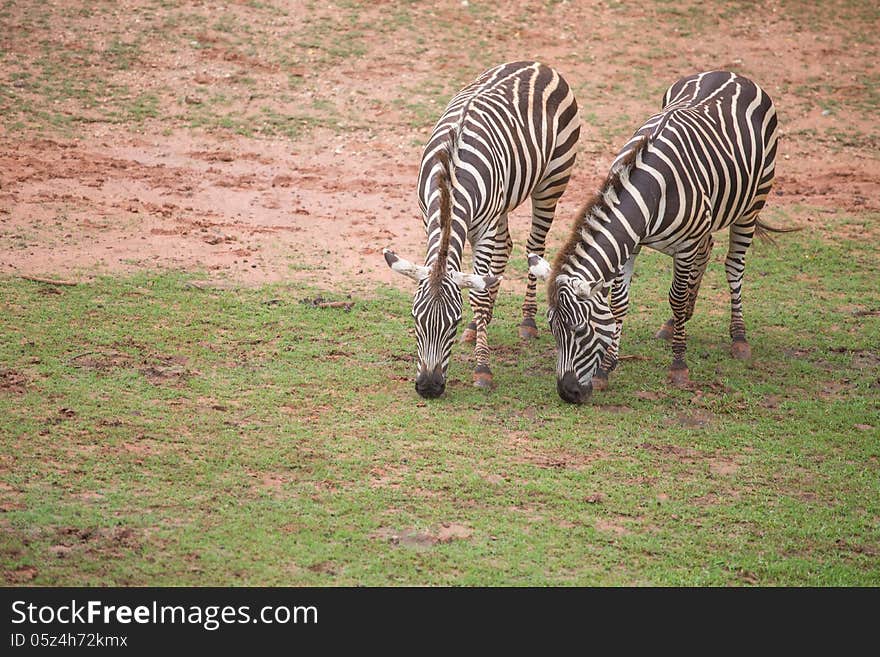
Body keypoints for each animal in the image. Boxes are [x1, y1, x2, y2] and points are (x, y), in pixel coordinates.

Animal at [384, 61, 576, 398]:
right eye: (415, 319)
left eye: (454, 322)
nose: (429, 387)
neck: (450, 180)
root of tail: (538, 64)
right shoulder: (429, 218)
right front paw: (477, 326)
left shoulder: (483, 229)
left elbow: (478, 295)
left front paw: (483, 368)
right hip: (505, 199)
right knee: (506, 247)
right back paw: (480, 326)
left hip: (552, 182)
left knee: (534, 247)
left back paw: (527, 321)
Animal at [524, 69, 788, 402]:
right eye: (553, 329)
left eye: (581, 330)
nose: (567, 393)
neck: (649, 192)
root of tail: (729, 72)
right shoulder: (629, 244)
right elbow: (619, 303)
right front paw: (606, 369)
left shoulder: (685, 245)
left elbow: (676, 297)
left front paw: (679, 367)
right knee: (708, 250)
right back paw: (676, 323)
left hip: (753, 201)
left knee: (734, 266)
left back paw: (739, 338)